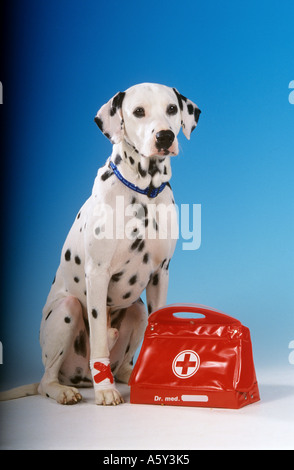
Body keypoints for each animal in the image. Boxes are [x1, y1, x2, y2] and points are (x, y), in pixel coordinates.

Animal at [0, 82, 200, 406]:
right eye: (138, 111)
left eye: (172, 108)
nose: (165, 137)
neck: (143, 192)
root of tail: (78, 377)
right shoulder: (97, 274)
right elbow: (98, 343)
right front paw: (105, 390)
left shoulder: (161, 275)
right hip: (66, 311)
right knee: (46, 382)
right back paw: (67, 390)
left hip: (137, 310)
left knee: (123, 357)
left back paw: (128, 375)